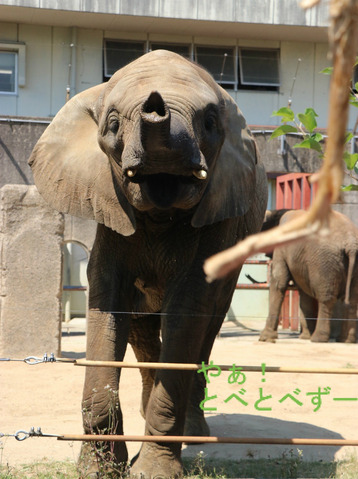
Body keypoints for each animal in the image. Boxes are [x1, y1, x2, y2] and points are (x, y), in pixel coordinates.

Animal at [28, 49, 268, 479]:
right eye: (112, 124)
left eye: (210, 122)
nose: (154, 106)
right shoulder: (108, 203)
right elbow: (106, 299)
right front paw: (99, 470)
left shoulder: (218, 217)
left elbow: (188, 308)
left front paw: (153, 471)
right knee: (142, 327)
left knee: (208, 326)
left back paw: (195, 433)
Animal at [260, 208, 358, 344]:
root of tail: (351, 242)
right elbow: (304, 292)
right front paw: (304, 337)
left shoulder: (281, 248)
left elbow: (279, 282)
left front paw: (265, 338)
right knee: (352, 299)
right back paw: (346, 340)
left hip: (324, 261)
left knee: (326, 299)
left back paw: (318, 339)